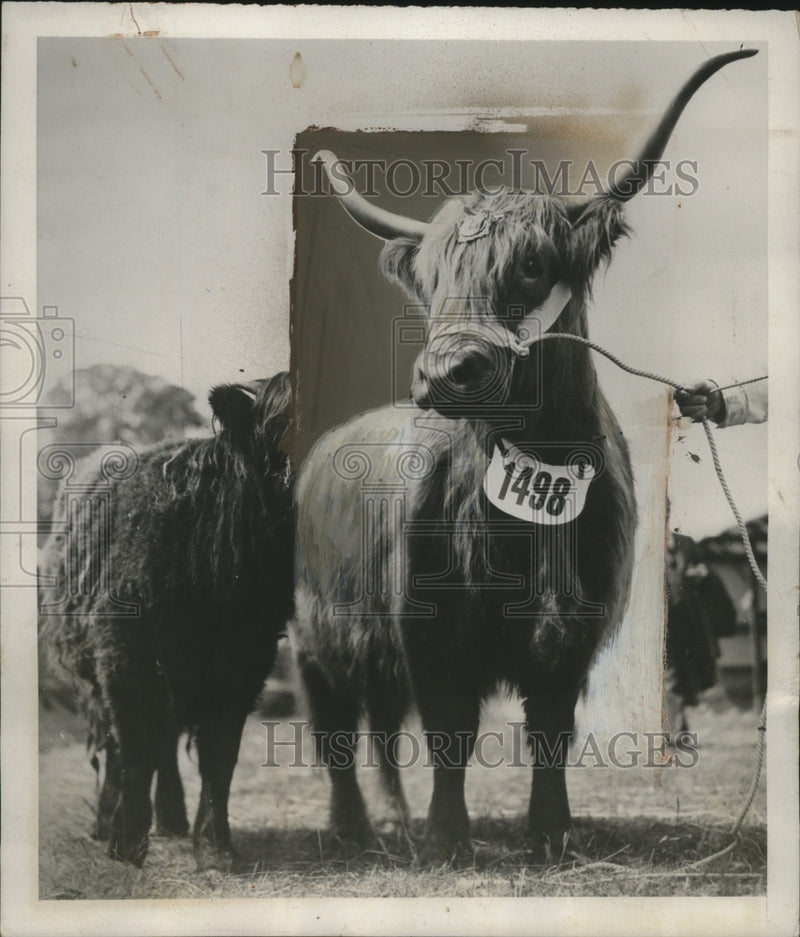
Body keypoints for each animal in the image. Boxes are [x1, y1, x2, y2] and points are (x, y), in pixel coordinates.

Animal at [39, 371, 294, 869]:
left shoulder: (246, 664)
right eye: (279, 423)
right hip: (96, 676)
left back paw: (172, 819)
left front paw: (214, 848)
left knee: (167, 742)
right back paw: (107, 823)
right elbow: (135, 748)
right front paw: (126, 844)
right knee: (119, 744)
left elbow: (219, 756)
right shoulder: (125, 655)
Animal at [292, 49, 756, 866]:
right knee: (337, 727)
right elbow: (449, 732)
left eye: (534, 264)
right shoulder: (429, 626)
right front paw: (449, 838)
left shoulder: (578, 627)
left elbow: (550, 732)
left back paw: (395, 818)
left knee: (379, 725)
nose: (447, 373)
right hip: (316, 635)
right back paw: (354, 827)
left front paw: (551, 833)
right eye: (432, 279)